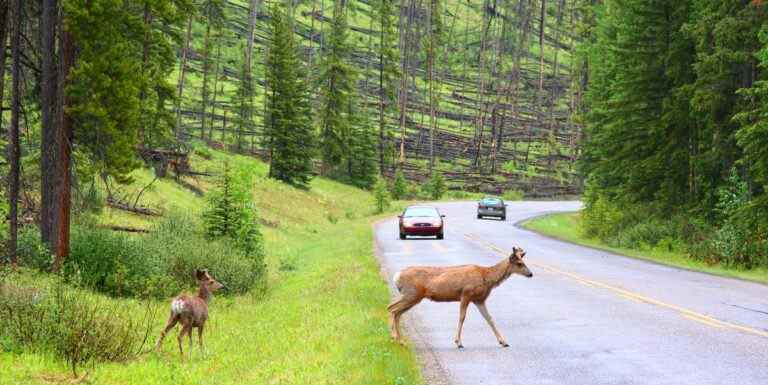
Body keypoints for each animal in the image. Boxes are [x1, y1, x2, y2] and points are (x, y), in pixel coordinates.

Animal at [388, 246, 532, 348]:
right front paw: (458, 342)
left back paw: (398, 340)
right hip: (411, 294)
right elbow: (462, 317)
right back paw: (395, 338)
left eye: (523, 261)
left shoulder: (479, 300)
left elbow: (489, 319)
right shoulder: (466, 294)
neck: (486, 277)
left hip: (411, 296)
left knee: (394, 310)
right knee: (393, 309)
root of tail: (397, 276)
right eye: (519, 263)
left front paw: (503, 341)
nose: (531, 274)